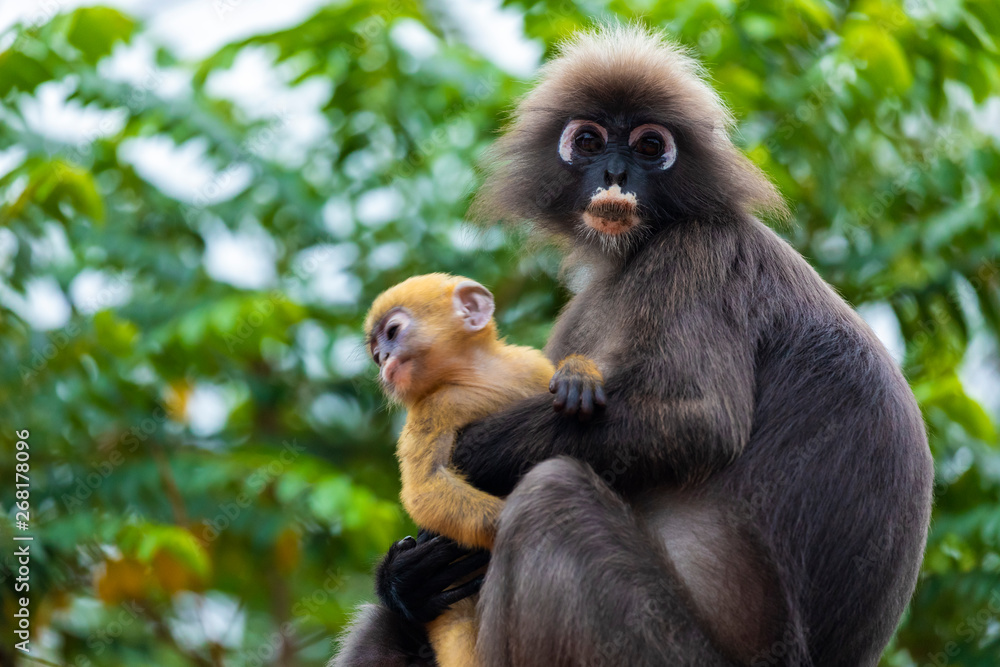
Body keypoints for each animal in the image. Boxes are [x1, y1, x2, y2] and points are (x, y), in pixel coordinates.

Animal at [353, 273, 605, 667]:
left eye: (392, 333)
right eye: (377, 355)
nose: (384, 361)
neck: (478, 374)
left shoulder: (528, 365)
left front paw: (576, 371)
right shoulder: (432, 409)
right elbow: (425, 490)